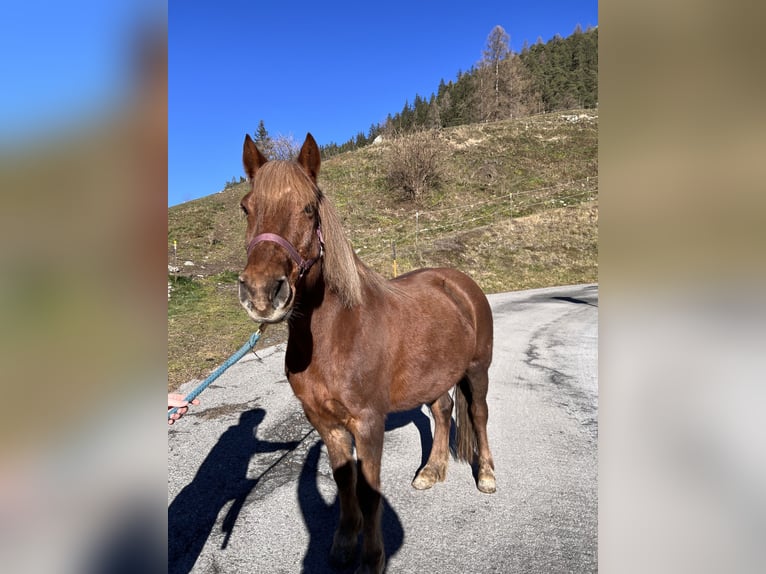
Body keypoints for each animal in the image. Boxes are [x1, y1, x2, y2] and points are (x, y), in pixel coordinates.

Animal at [237, 134, 498, 572]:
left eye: (308, 208)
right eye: (246, 207)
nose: (261, 293)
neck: (338, 334)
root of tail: (460, 282)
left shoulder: (369, 422)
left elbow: (371, 491)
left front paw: (373, 558)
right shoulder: (325, 423)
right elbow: (346, 483)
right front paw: (344, 544)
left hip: (478, 370)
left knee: (478, 415)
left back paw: (487, 475)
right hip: (435, 375)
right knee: (443, 411)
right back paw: (432, 470)